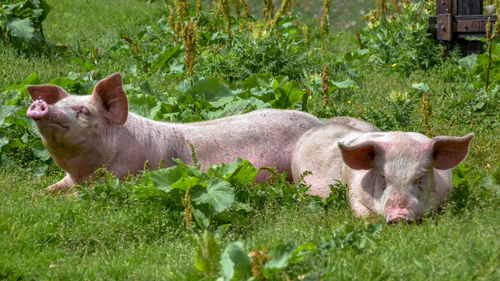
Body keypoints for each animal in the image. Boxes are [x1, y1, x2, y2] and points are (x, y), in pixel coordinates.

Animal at [27, 73, 320, 194]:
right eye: (60, 103)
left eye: (83, 111)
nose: (41, 104)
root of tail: (317, 122)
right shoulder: (68, 179)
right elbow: (44, 192)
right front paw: (32, 198)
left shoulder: (123, 177)